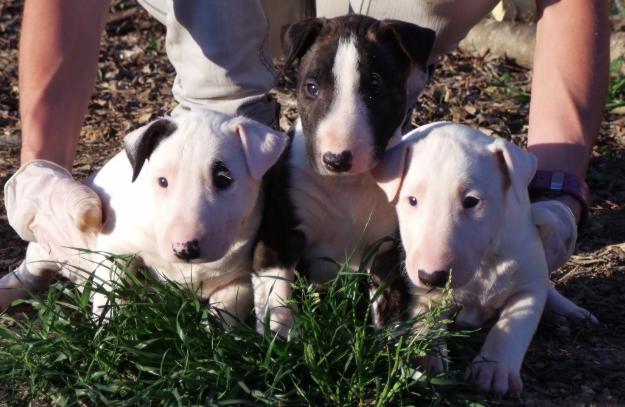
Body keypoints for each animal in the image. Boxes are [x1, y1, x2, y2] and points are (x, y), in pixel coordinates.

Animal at [0, 108, 288, 326]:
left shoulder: (240, 280)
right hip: (45, 249)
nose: (185, 248)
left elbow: (225, 311)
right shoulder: (115, 247)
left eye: (223, 179)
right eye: (162, 181)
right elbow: (110, 293)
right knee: (31, 272)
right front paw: (108, 333)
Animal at [251, 14, 436, 336]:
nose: (336, 159)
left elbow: (389, 306)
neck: (345, 185)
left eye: (375, 87)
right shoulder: (279, 232)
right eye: (311, 87)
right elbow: (276, 288)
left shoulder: (385, 250)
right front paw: (280, 334)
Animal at [370, 122, 596, 396]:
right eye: (412, 200)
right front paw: (426, 361)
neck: (482, 264)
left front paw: (493, 370)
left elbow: (514, 324)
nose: (431, 277)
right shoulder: (423, 293)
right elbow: (426, 320)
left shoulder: (528, 282)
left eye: (471, 201)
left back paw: (571, 312)